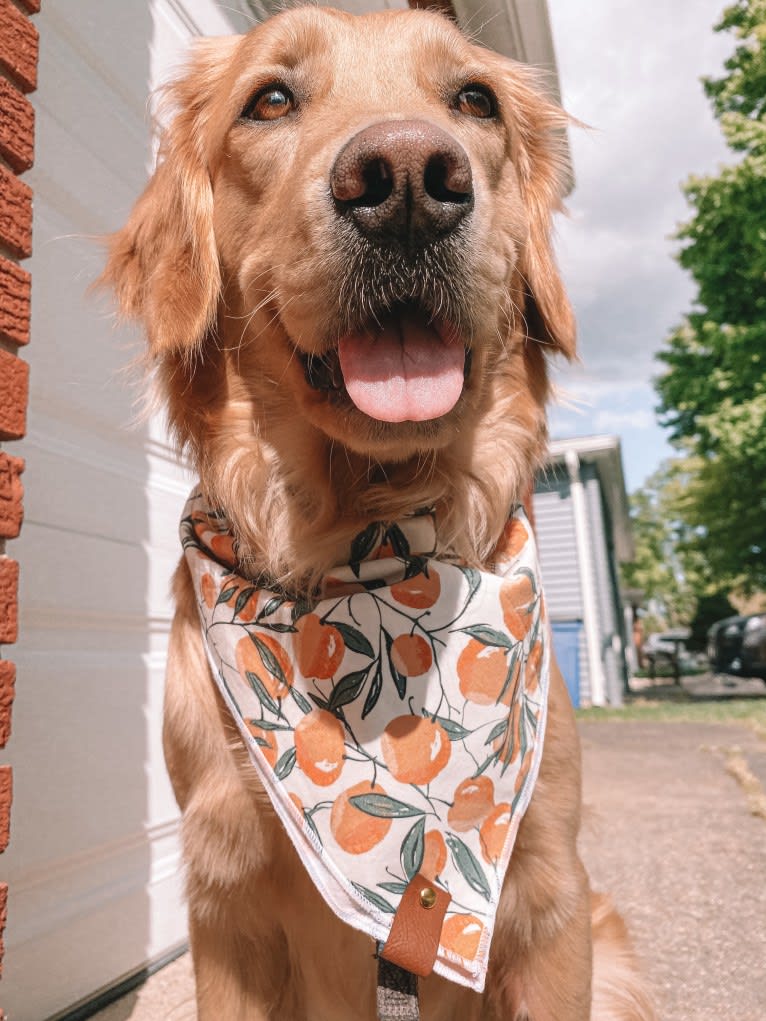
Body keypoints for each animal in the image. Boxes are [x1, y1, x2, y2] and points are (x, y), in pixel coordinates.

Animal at [100, 7, 653, 1021]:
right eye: (269, 100)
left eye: (474, 98)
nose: (407, 182)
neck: (374, 548)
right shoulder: (223, 906)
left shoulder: (552, 901)